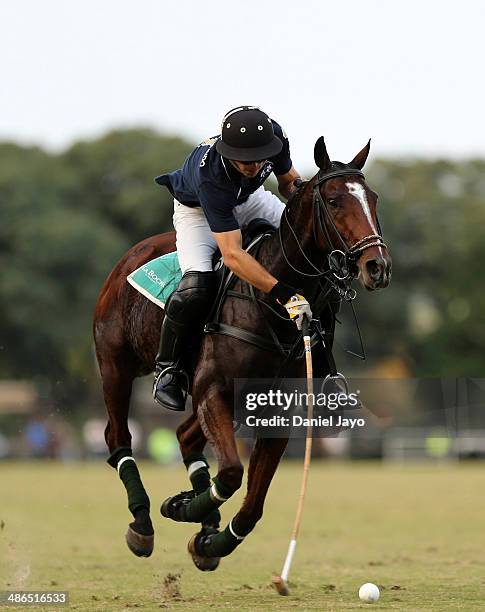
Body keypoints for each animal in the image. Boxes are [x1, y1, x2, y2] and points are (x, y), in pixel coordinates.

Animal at [92, 136, 392, 572]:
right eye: (335, 201)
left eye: (373, 198)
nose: (378, 267)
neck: (270, 305)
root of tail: (130, 256)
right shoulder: (213, 389)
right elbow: (232, 474)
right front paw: (182, 510)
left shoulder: (274, 408)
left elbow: (252, 506)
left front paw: (206, 539)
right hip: (115, 364)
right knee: (118, 438)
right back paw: (144, 522)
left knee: (185, 437)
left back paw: (203, 520)